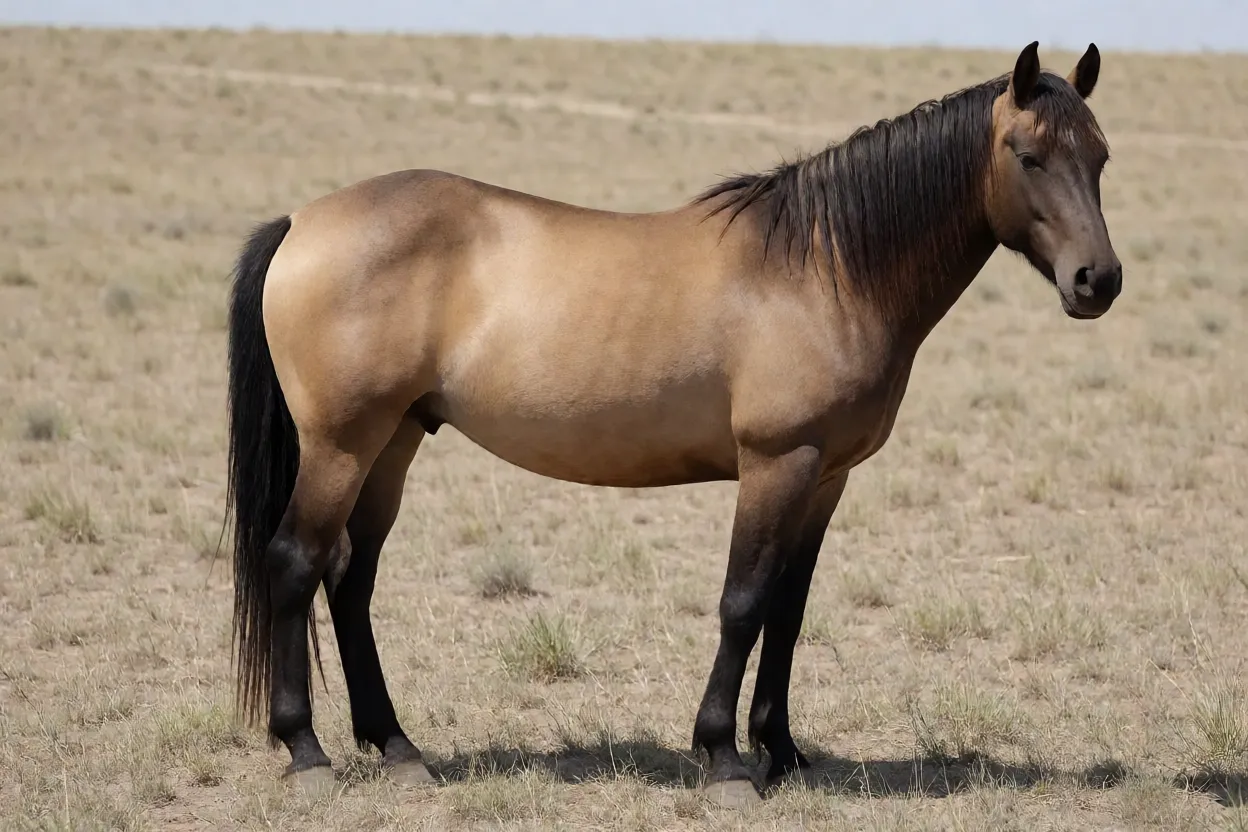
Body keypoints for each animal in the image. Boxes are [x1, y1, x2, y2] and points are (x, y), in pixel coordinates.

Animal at [224, 41, 1121, 807]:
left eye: (1102, 157)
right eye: (1027, 155)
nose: (1098, 281)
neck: (823, 270)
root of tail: (302, 222)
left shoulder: (827, 476)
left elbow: (789, 609)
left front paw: (783, 752)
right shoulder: (777, 463)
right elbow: (743, 602)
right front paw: (724, 758)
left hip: (396, 441)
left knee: (352, 579)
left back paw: (397, 748)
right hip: (342, 445)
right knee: (297, 562)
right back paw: (308, 752)